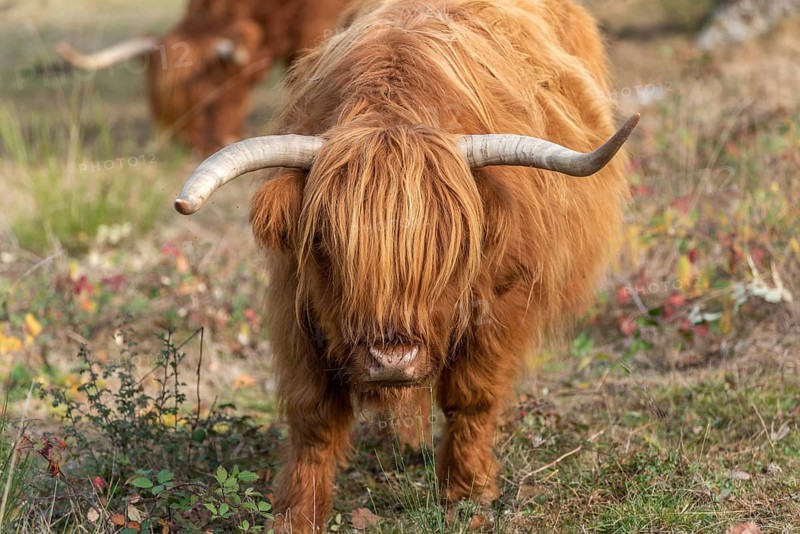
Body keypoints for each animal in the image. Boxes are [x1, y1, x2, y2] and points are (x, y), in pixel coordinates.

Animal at [174, 0, 638, 530]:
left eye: (450, 248)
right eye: (325, 244)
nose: (392, 360)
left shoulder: (503, 301)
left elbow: (471, 396)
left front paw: (466, 495)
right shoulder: (297, 301)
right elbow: (314, 415)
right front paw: (297, 513)